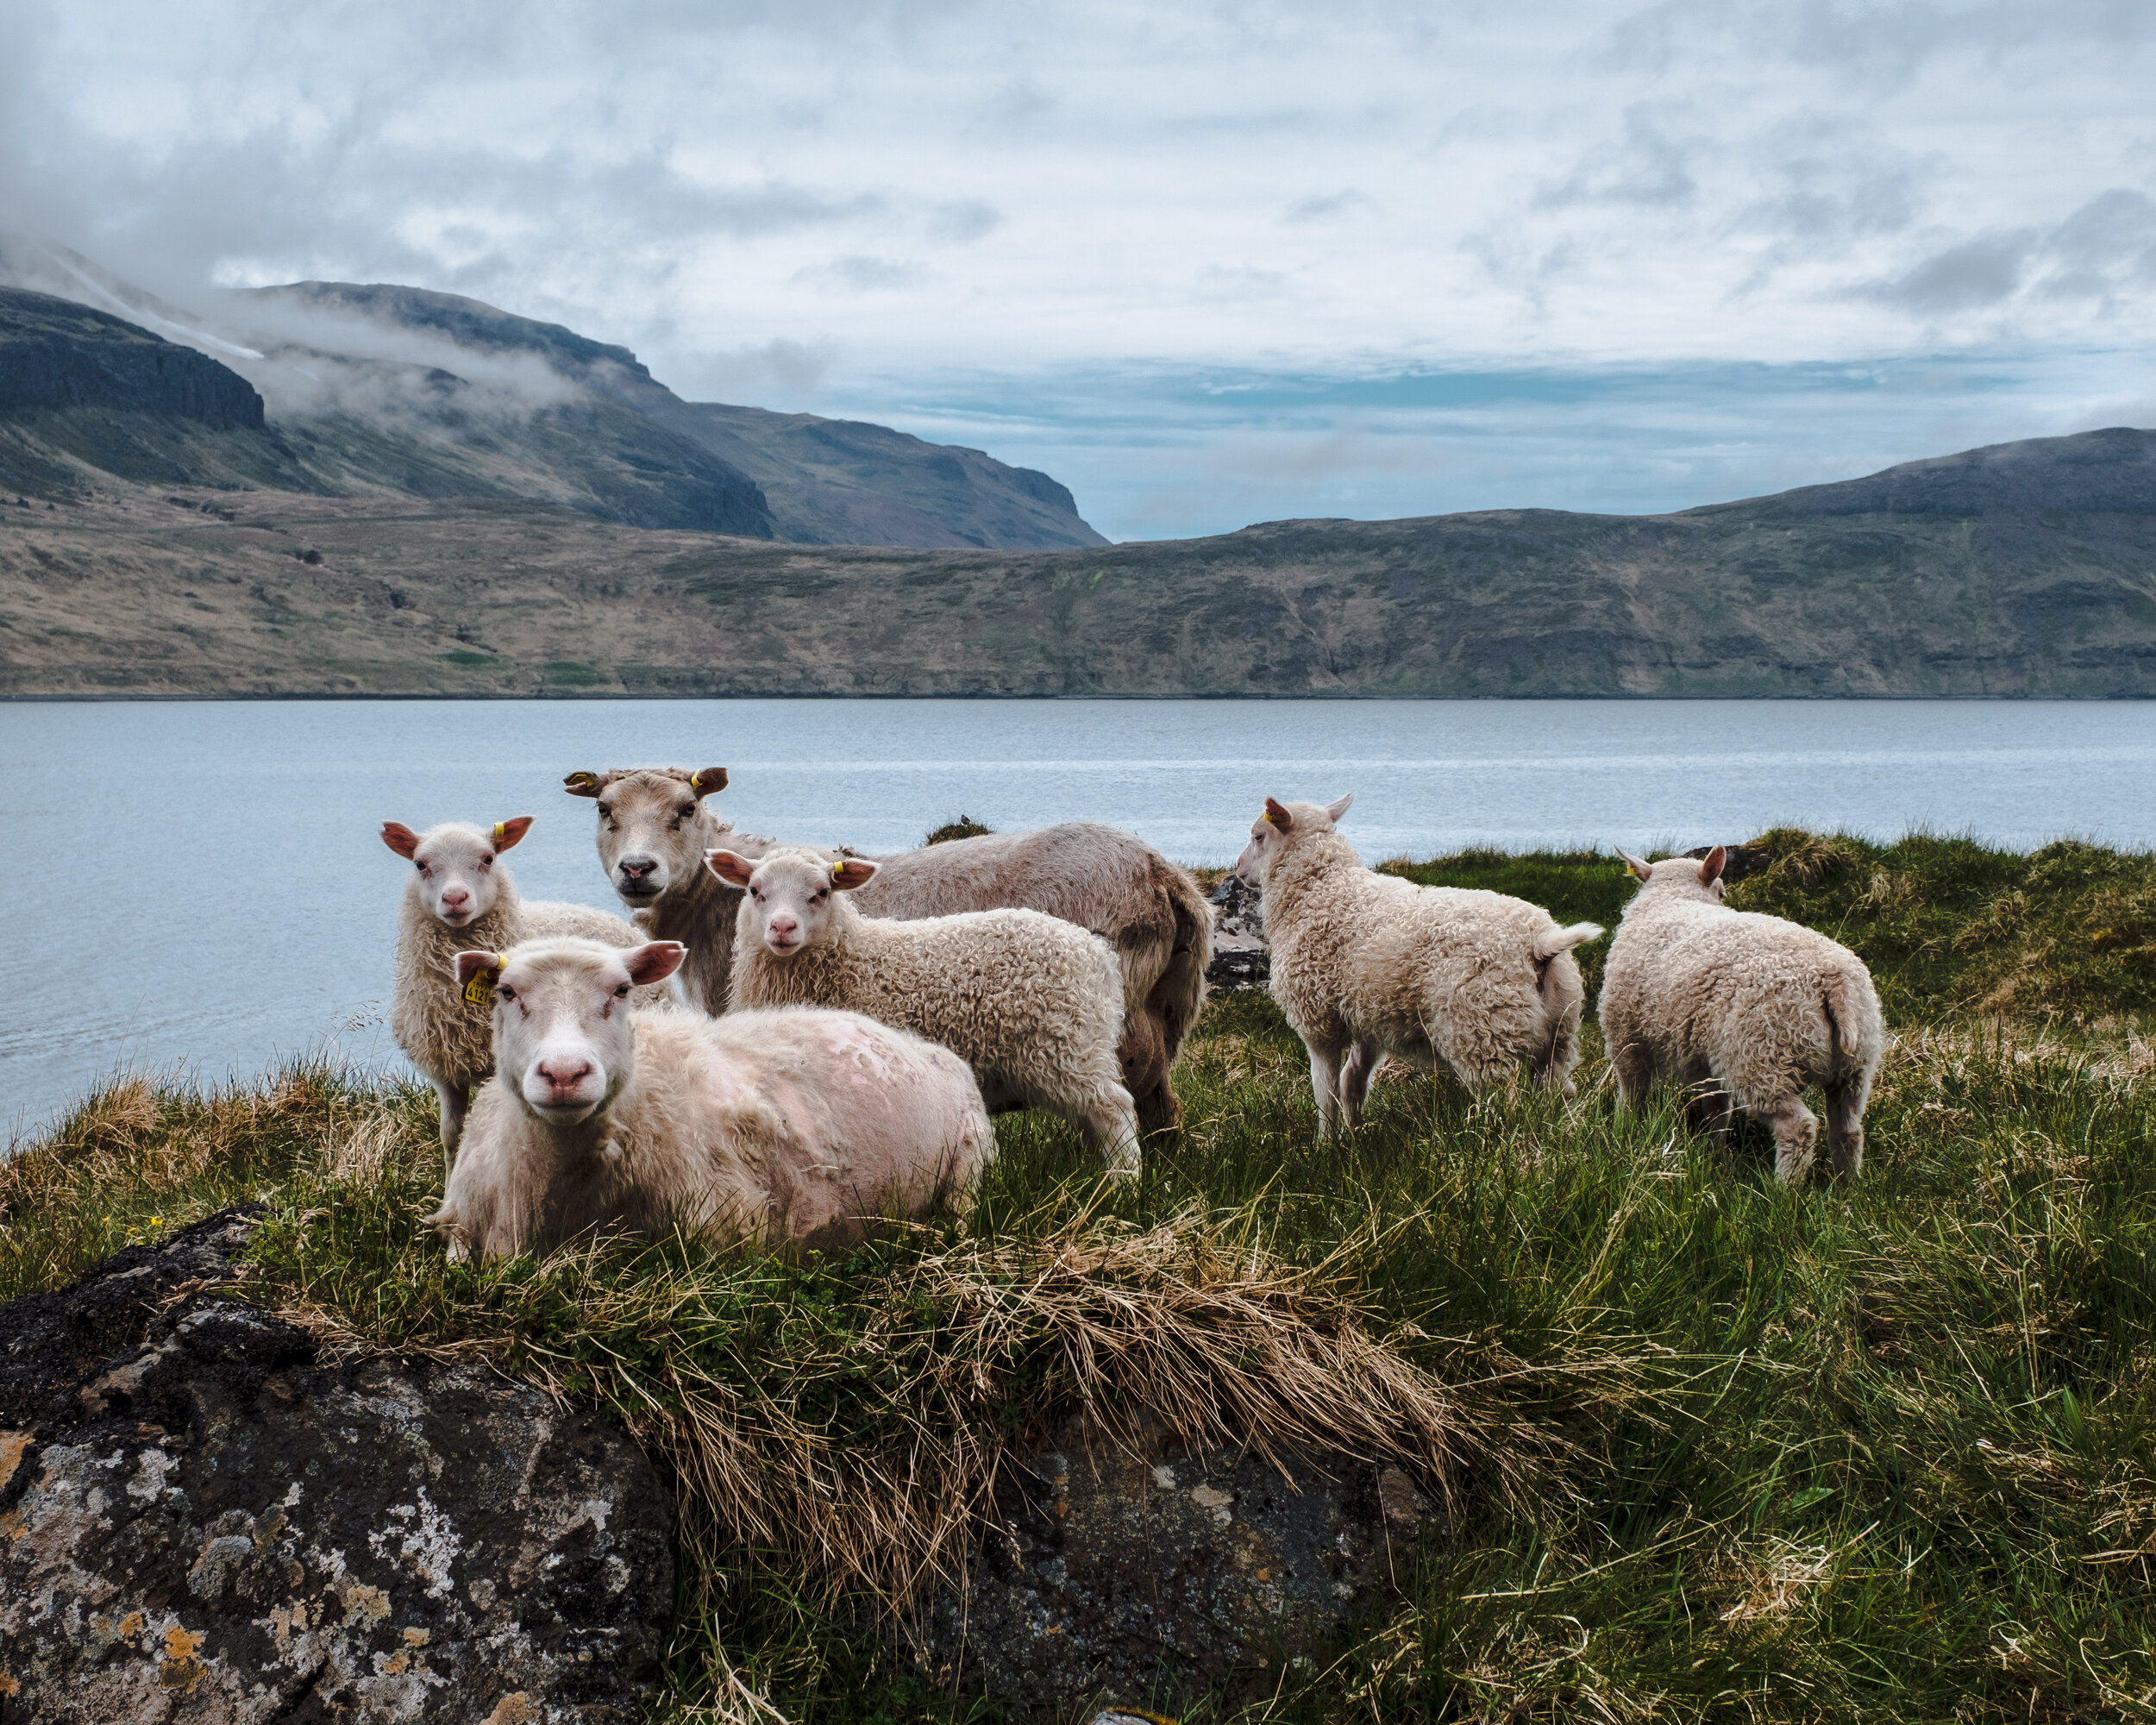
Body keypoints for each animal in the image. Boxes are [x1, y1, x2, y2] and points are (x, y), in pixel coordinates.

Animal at [424, 937, 993, 1260]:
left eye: (622, 990)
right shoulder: (463, 1220)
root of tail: (916, 1041)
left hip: (969, 1165)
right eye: (507, 992)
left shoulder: (724, 1235)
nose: (565, 1073)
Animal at [565, 766, 1210, 1130]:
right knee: (1160, 1106)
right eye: (604, 810)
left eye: (687, 809)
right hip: (1163, 1008)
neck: (712, 902)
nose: (638, 870)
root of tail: (1162, 872)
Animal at [710, 845, 1143, 1176]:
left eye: (821, 892)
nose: (783, 928)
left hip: (1068, 1042)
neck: (853, 958)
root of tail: (1096, 953)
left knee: (1114, 1109)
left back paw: (1125, 1183)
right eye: (754, 890)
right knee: (1093, 1119)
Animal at [1233, 795, 1605, 1136]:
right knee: (1559, 1095)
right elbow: (1353, 1083)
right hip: (1558, 1032)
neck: (1320, 889)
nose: (1237, 869)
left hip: (1484, 1029)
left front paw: (1325, 1145)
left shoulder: (1319, 1021)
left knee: (1504, 1106)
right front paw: (1352, 1140)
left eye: (1258, 836)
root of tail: (1539, 943)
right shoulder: (1368, 1019)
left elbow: (1327, 1093)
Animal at [1599, 845, 1887, 1183]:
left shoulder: (1626, 1035)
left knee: (1798, 1127)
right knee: (1849, 1130)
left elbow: (1632, 1093)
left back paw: (1784, 1189)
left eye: (1723, 892)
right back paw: (1848, 1186)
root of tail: (1833, 978)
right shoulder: (1704, 1056)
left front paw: (1624, 1131)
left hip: (1762, 1056)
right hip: (1855, 1067)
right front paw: (1715, 1156)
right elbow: (1717, 1109)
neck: (1674, 899)